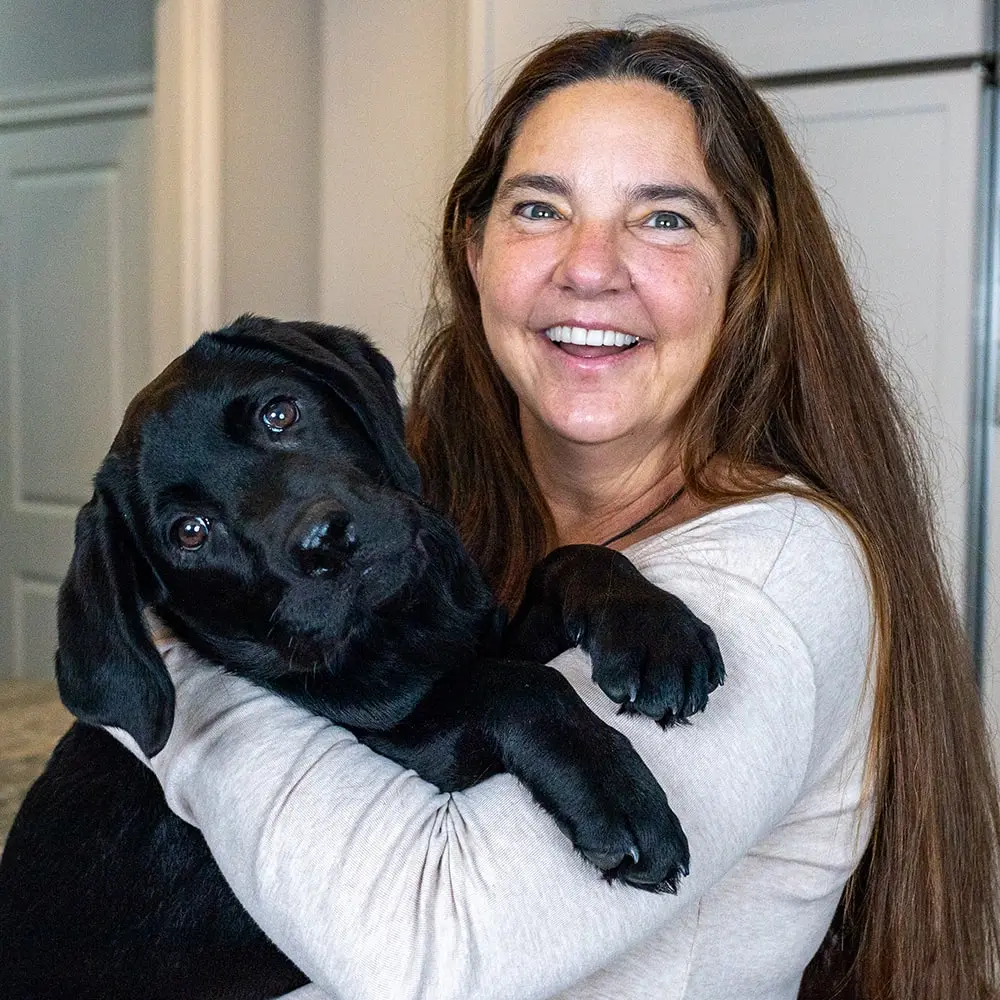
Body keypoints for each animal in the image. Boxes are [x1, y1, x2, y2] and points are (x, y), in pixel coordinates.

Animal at [0, 316, 724, 996]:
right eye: (189, 533)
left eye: (280, 412)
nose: (324, 541)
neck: (401, 627)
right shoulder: (414, 754)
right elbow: (515, 685)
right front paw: (618, 798)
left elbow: (568, 561)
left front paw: (655, 631)